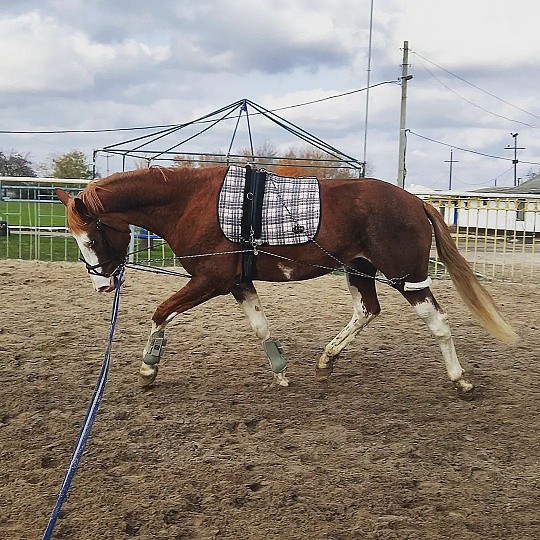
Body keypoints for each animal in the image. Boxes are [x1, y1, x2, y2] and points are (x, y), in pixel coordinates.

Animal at [57, 165, 516, 396]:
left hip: (407, 278)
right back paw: (327, 359)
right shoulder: (237, 283)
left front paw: (148, 369)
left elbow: (160, 313)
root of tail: (417, 201)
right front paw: (280, 371)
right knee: (367, 310)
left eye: (91, 236)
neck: (191, 202)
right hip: (360, 270)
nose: (102, 285)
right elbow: (261, 326)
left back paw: (460, 380)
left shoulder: (211, 280)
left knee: (437, 323)